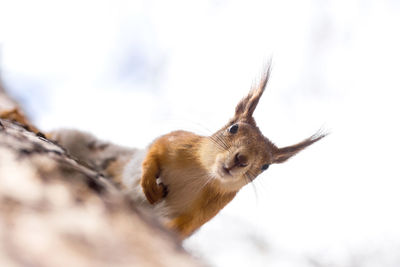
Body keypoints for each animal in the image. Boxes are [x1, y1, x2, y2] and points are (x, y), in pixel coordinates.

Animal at [7, 65, 324, 241]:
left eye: (266, 166)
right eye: (233, 128)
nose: (241, 161)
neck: (201, 175)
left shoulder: (207, 209)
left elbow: (183, 227)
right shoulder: (176, 141)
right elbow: (154, 153)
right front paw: (149, 184)